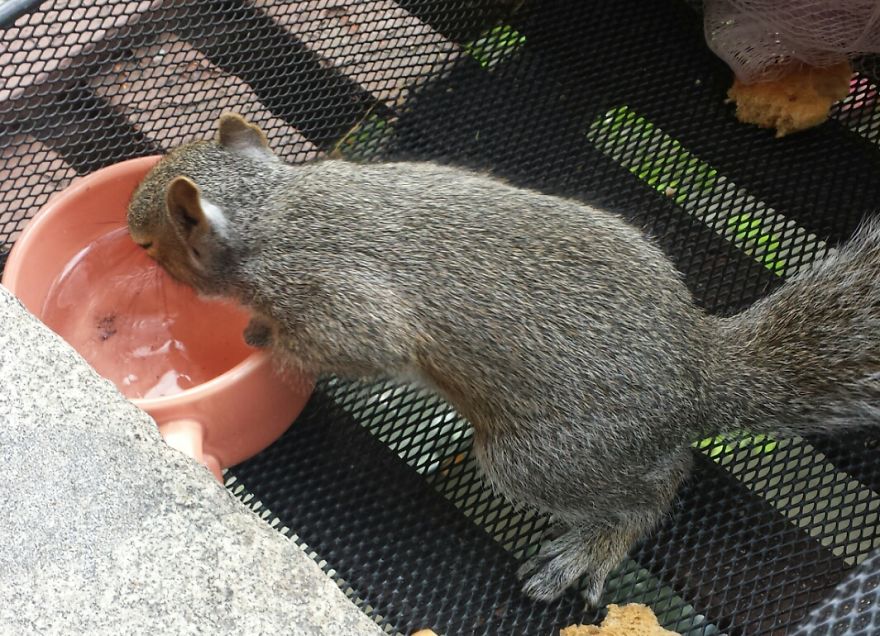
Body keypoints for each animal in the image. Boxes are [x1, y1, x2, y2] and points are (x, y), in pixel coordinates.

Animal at [128, 112, 880, 606]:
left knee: (655, 490)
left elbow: (352, 345)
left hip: (542, 457)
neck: (277, 205)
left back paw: (592, 548)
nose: (138, 260)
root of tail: (700, 374)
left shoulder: (332, 299)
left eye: (146, 243)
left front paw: (267, 341)